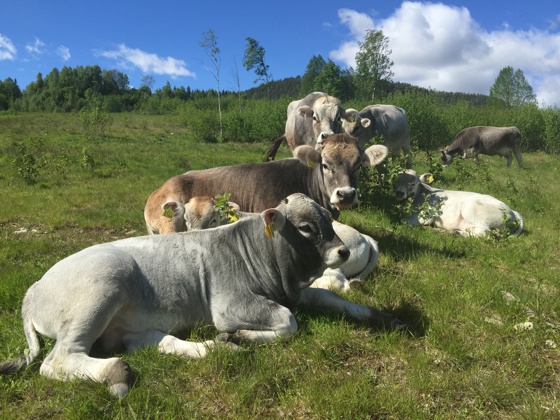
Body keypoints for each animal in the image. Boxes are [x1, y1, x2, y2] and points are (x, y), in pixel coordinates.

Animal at [0, 194, 402, 398]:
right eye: (305, 227)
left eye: (331, 222)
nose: (342, 252)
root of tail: (34, 287)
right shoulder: (229, 306)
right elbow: (289, 322)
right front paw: (244, 334)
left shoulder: (296, 293)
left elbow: (333, 300)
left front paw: (380, 316)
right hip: (103, 285)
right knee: (58, 361)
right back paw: (118, 372)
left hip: (125, 322)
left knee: (151, 341)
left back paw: (215, 348)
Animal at [394, 169, 524, 238]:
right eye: (396, 180)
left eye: (413, 184)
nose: (399, 193)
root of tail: (512, 210)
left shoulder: (427, 214)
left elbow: (404, 221)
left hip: (471, 209)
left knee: (484, 233)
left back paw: (454, 232)